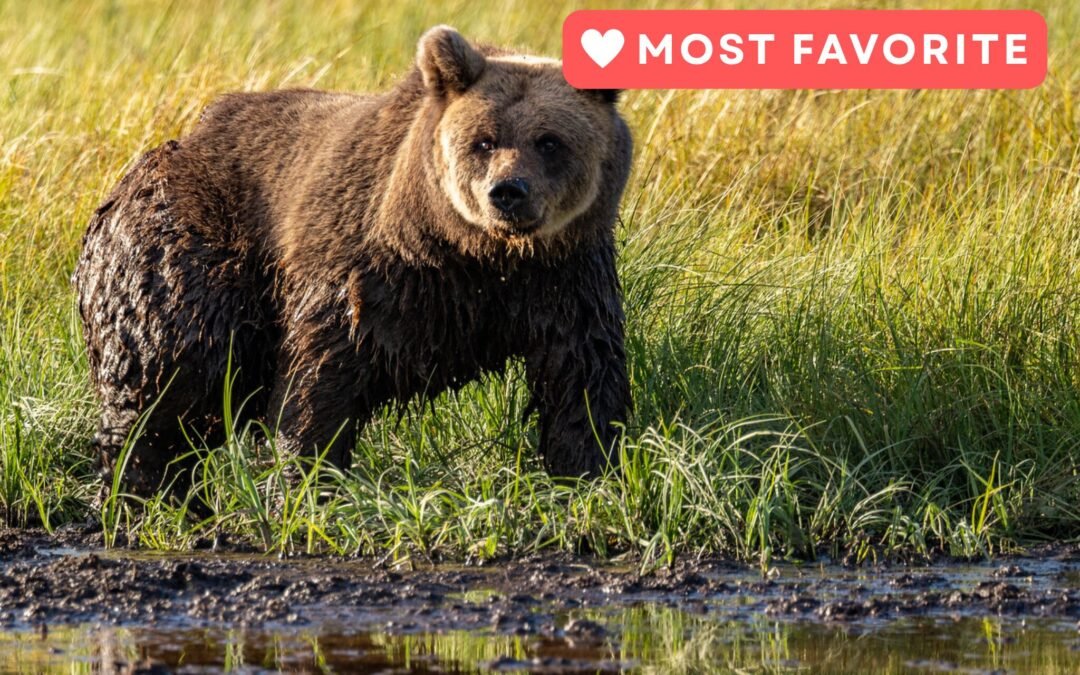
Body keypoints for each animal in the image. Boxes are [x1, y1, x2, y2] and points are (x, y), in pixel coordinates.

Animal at [73, 26, 633, 496]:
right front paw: (305, 482)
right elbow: (321, 376)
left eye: (549, 141)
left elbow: (581, 376)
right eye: (484, 140)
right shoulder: (368, 271)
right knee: (172, 372)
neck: (472, 253)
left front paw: (588, 472)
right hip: (188, 247)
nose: (508, 193)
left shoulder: (565, 279)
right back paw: (143, 491)